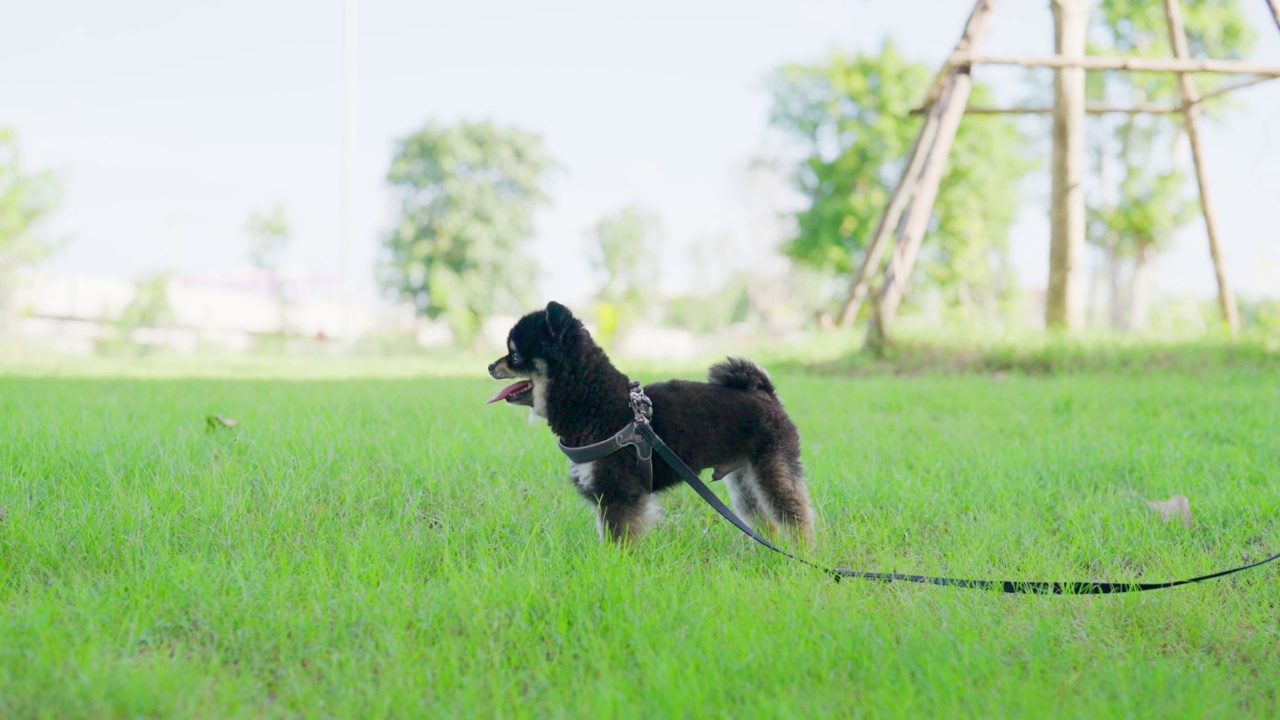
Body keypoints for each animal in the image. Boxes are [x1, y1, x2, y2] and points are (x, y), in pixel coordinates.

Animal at [483, 301, 814, 543]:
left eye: (514, 356)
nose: (489, 365)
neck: (598, 403)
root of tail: (764, 391)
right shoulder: (609, 496)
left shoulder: (619, 493)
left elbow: (619, 542)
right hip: (745, 479)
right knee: (765, 521)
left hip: (771, 466)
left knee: (796, 516)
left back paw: (803, 554)